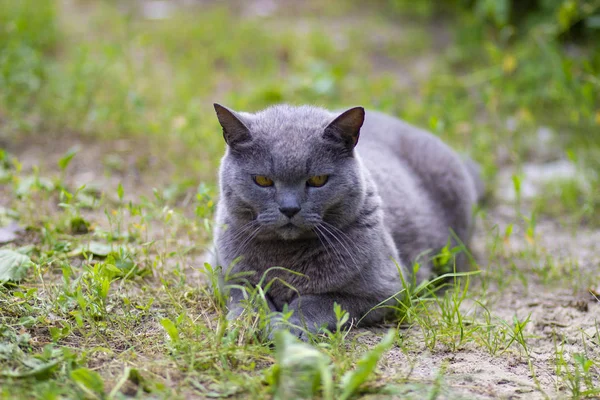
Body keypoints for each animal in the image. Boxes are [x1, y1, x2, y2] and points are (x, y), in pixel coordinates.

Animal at [210, 103, 482, 338]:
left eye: (318, 180)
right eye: (263, 180)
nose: (289, 208)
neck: (285, 260)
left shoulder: (386, 291)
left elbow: (319, 301)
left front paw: (286, 326)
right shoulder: (223, 273)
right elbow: (247, 295)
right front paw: (250, 323)